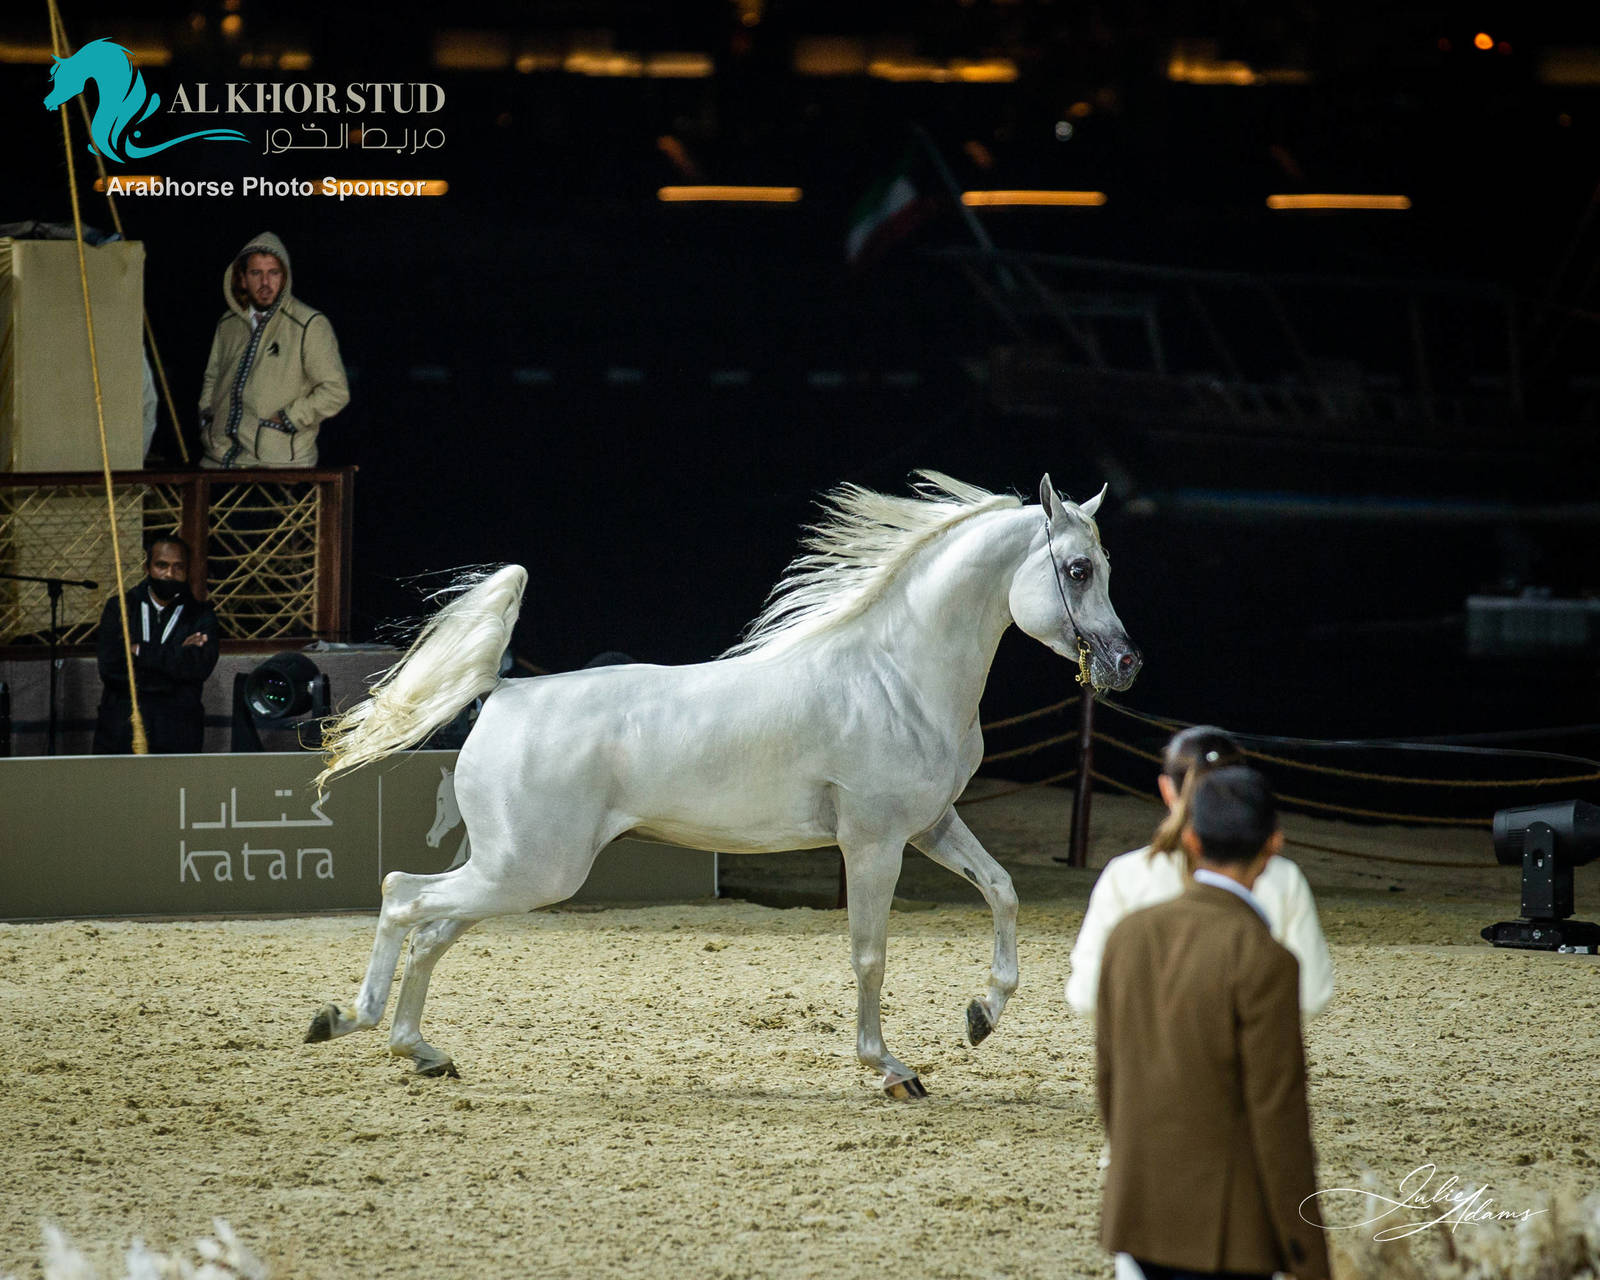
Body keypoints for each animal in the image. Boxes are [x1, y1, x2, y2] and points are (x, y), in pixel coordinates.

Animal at [305, 472, 1141, 1098]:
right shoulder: (873, 844)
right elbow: (869, 955)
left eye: (1104, 566)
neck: (896, 675)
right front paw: (891, 1070)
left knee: (430, 927)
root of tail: (502, 693)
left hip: (511, 871)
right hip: (532, 871)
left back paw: (422, 1052)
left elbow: (1003, 892)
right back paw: (344, 1022)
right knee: (402, 897)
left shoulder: (933, 825)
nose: (1126, 665)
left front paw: (981, 1016)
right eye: (1078, 570)